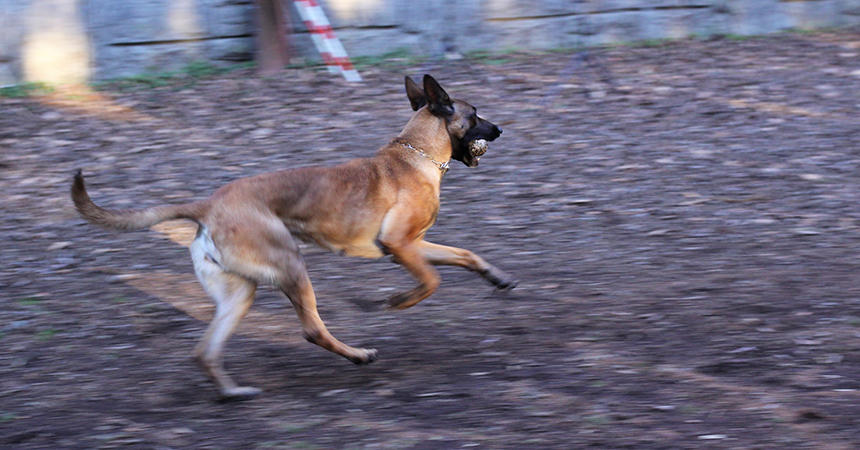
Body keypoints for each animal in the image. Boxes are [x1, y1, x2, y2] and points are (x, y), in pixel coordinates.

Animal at [70, 74, 512, 400]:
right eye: (475, 114)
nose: (500, 129)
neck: (414, 153)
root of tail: (207, 205)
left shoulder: (417, 246)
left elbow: (464, 255)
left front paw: (497, 277)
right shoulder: (400, 246)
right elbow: (431, 281)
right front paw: (398, 301)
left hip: (239, 295)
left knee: (204, 350)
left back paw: (233, 393)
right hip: (291, 265)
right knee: (312, 329)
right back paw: (357, 355)